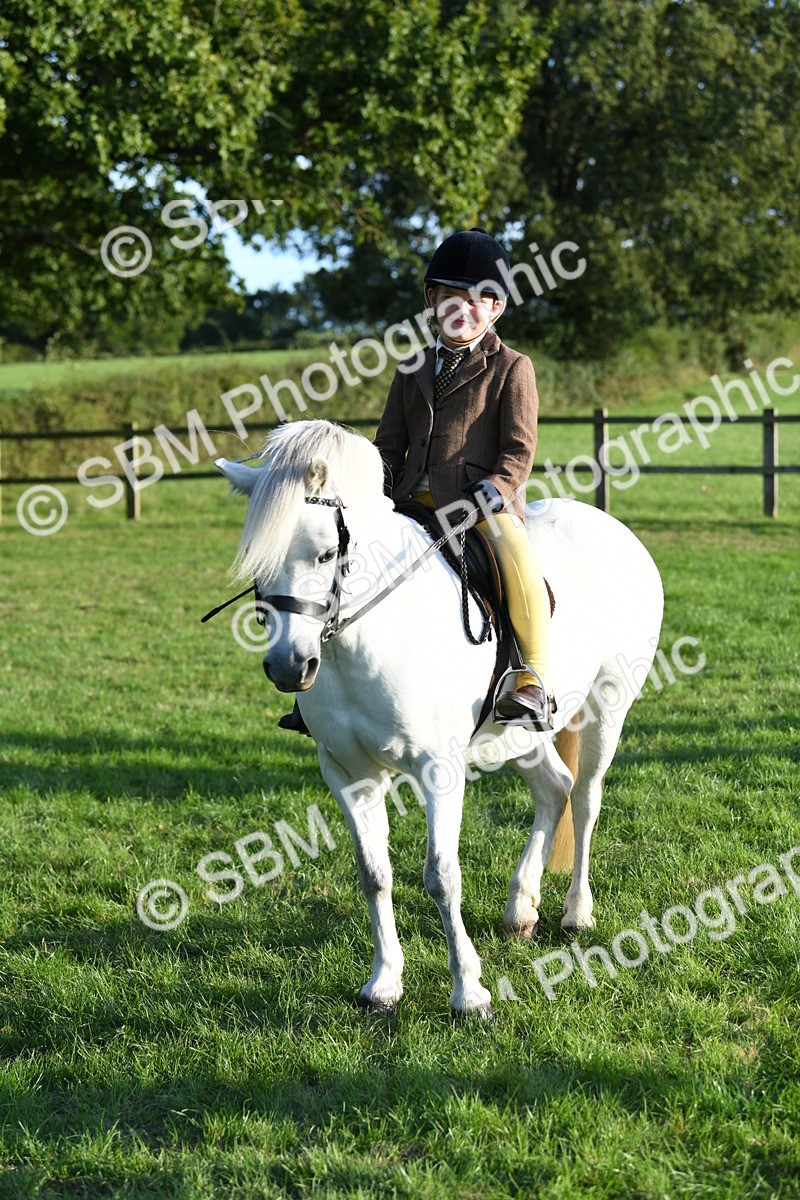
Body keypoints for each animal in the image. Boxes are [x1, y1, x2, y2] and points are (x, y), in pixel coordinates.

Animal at [213, 419, 664, 1018]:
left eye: (327, 554)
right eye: (257, 559)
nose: (289, 666)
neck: (366, 639)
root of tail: (614, 529)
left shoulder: (439, 769)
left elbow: (442, 877)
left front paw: (469, 992)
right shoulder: (347, 772)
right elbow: (374, 874)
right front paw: (383, 984)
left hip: (607, 707)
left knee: (586, 797)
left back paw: (576, 913)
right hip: (513, 733)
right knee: (554, 788)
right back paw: (521, 909)